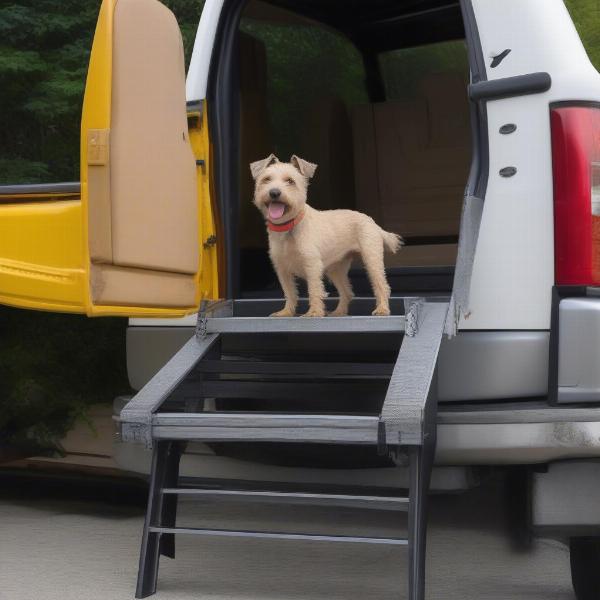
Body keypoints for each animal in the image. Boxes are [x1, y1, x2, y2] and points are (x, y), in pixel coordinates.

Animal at [248, 155, 404, 318]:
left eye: (290, 181)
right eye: (266, 179)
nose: (274, 193)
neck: (288, 226)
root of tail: (372, 221)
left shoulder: (312, 265)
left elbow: (314, 290)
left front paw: (314, 312)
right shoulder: (282, 269)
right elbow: (289, 292)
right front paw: (286, 312)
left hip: (371, 259)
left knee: (382, 285)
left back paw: (382, 309)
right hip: (335, 269)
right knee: (347, 292)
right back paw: (339, 312)